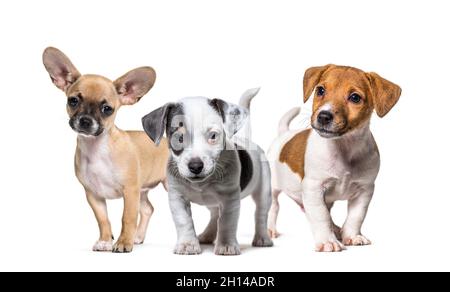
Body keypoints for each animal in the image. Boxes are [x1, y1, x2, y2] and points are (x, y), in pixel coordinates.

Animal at [43, 46, 170, 252]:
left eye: (107, 109)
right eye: (73, 101)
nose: (85, 120)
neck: (97, 149)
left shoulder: (130, 192)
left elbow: (127, 218)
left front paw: (123, 242)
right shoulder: (94, 195)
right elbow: (103, 220)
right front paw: (105, 241)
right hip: (142, 190)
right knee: (147, 209)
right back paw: (138, 237)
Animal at [142, 89, 272, 256]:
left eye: (213, 136)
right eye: (179, 138)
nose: (195, 166)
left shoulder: (230, 199)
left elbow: (227, 222)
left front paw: (226, 245)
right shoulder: (177, 197)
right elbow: (184, 221)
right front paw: (188, 244)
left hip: (264, 191)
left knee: (260, 214)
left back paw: (262, 238)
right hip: (213, 203)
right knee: (215, 215)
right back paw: (207, 235)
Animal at [268, 65, 400, 252]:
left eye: (355, 97)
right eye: (320, 90)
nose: (323, 116)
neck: (343, 147)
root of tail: (284, 134)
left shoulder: (365, 190)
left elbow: (355, 216)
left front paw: (351, 236)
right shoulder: (314, 188)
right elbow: (321, 216)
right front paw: (327, 241)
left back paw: (337, 229)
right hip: (272, 187)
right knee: (273, 207)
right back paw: (269, 229)